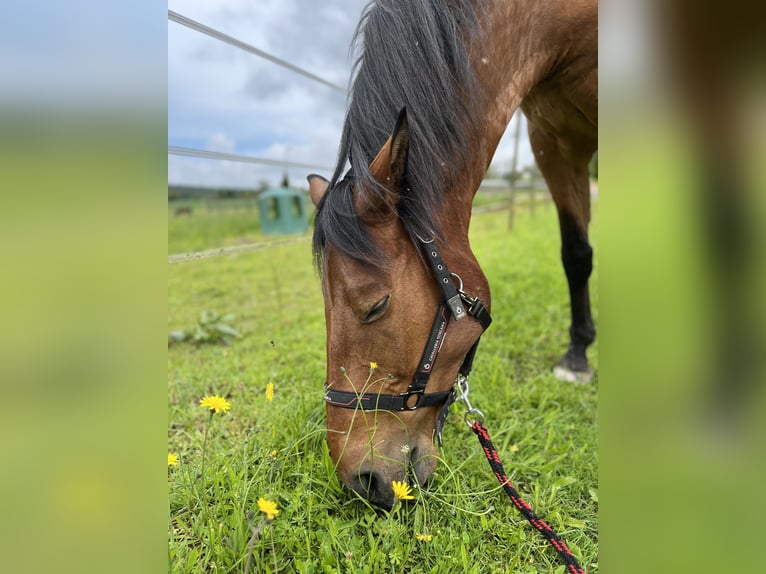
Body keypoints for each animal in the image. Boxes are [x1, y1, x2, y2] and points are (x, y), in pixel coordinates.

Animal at [308, 1, 596, 512]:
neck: (561, 28)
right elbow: (575, 252)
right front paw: (578, 353)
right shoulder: (554, 138)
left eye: (376, 306)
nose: (360, 480)